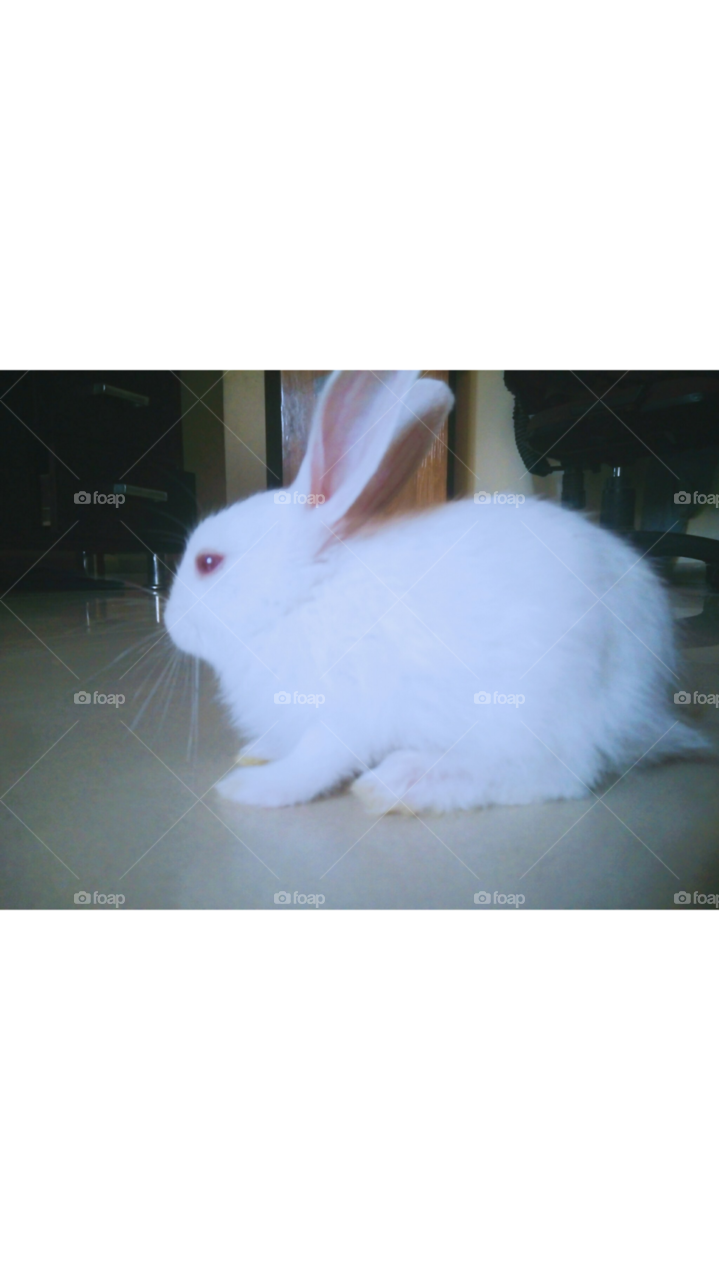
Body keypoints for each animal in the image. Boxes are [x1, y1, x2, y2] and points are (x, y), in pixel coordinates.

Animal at [164, 369, 708, 814]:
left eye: (208, 563)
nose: (169, 621)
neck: (304, 597)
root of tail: (642, 708)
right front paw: (256, 754)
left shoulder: (347, 712)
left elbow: (315, 762)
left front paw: (248, 789)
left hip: (535, 710)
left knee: (557, 774)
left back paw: (401, 784)